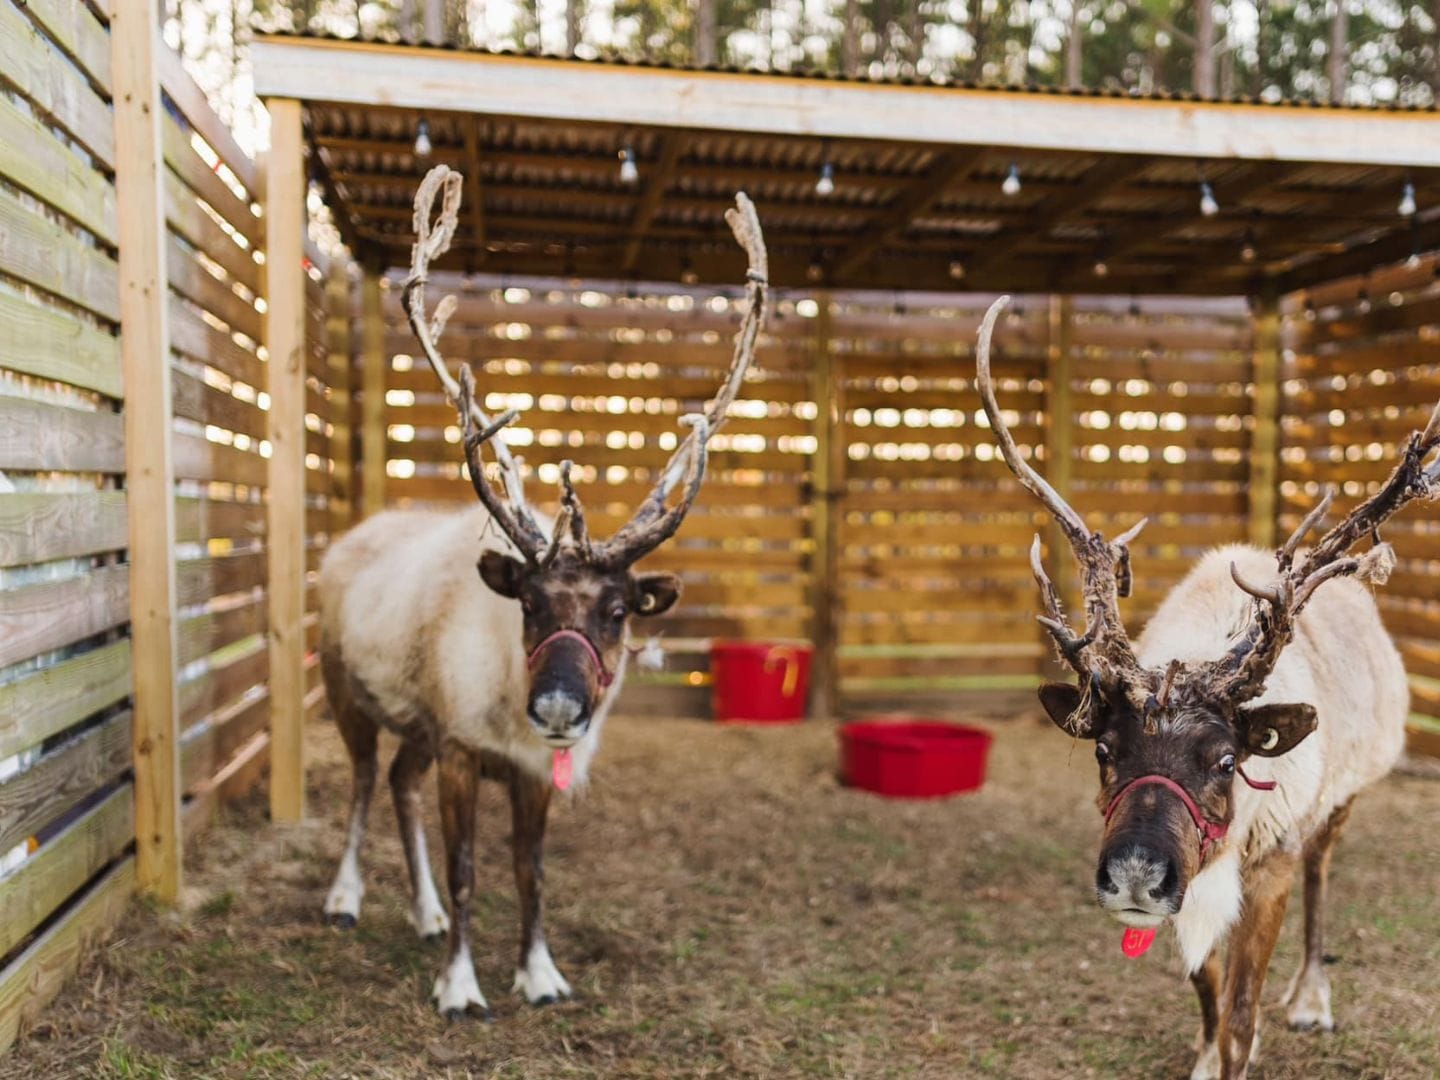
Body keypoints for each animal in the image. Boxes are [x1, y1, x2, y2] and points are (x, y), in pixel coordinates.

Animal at [317, 166, 768, 1018]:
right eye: (528, 603)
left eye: (619, 610)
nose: (558, 707)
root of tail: (345, 541)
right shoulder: (462, 749)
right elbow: (468, 869)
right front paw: (460, 986)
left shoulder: (529, 769)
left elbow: (531, 872)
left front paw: (540, 974)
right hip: (345, 694)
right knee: (359, 786)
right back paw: (346, 898)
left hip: (416, 728)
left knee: (395, 784)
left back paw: (422, 912)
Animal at [974, 296, 1434, 1080]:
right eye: (1104, 751)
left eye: (1226, 760)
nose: (1134, 873)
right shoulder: (1189, 885)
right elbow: (1208, 986)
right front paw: (1203, 1056)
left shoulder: (1269, 862)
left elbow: (1244, 1010)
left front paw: (1242, 1046)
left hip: (1342, 800)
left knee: (1322, 877)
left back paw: (1311, 999)